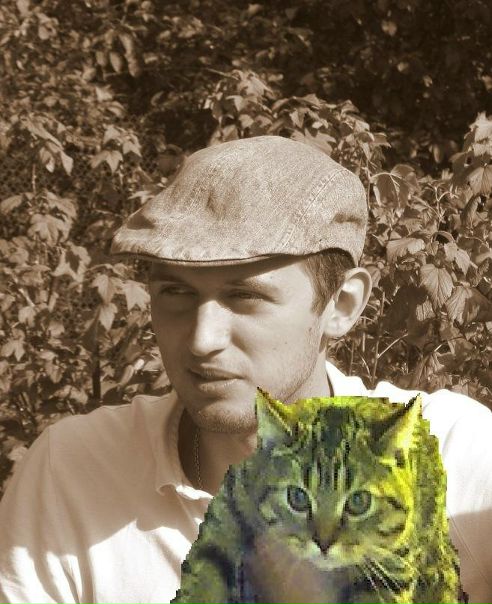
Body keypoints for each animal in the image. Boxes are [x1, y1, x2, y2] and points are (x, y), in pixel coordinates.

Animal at [172, 389, 468, 604]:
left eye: (359, 502)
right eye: (297, 497)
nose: (323, 543)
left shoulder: (390, 570)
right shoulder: (229, 508)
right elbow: (206, 571)